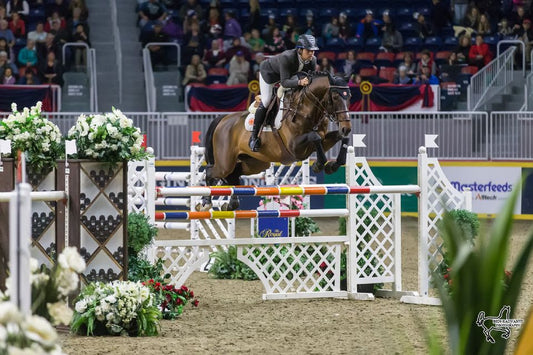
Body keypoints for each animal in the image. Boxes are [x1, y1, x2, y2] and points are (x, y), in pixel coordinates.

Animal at [198, 72, 350, 211]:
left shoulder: (322, 141)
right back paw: (206, 202)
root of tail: (223, 119)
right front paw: (319, 164)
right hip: (225, 163)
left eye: (349, 97)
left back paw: (232, 203)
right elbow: (315, 136)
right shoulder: (295, 147)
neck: (306, 109)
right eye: (335, 97)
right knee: (211, 171)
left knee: (233, 175)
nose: (346, 128)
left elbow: (340, 138)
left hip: (253, 163)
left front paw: (333, 165)